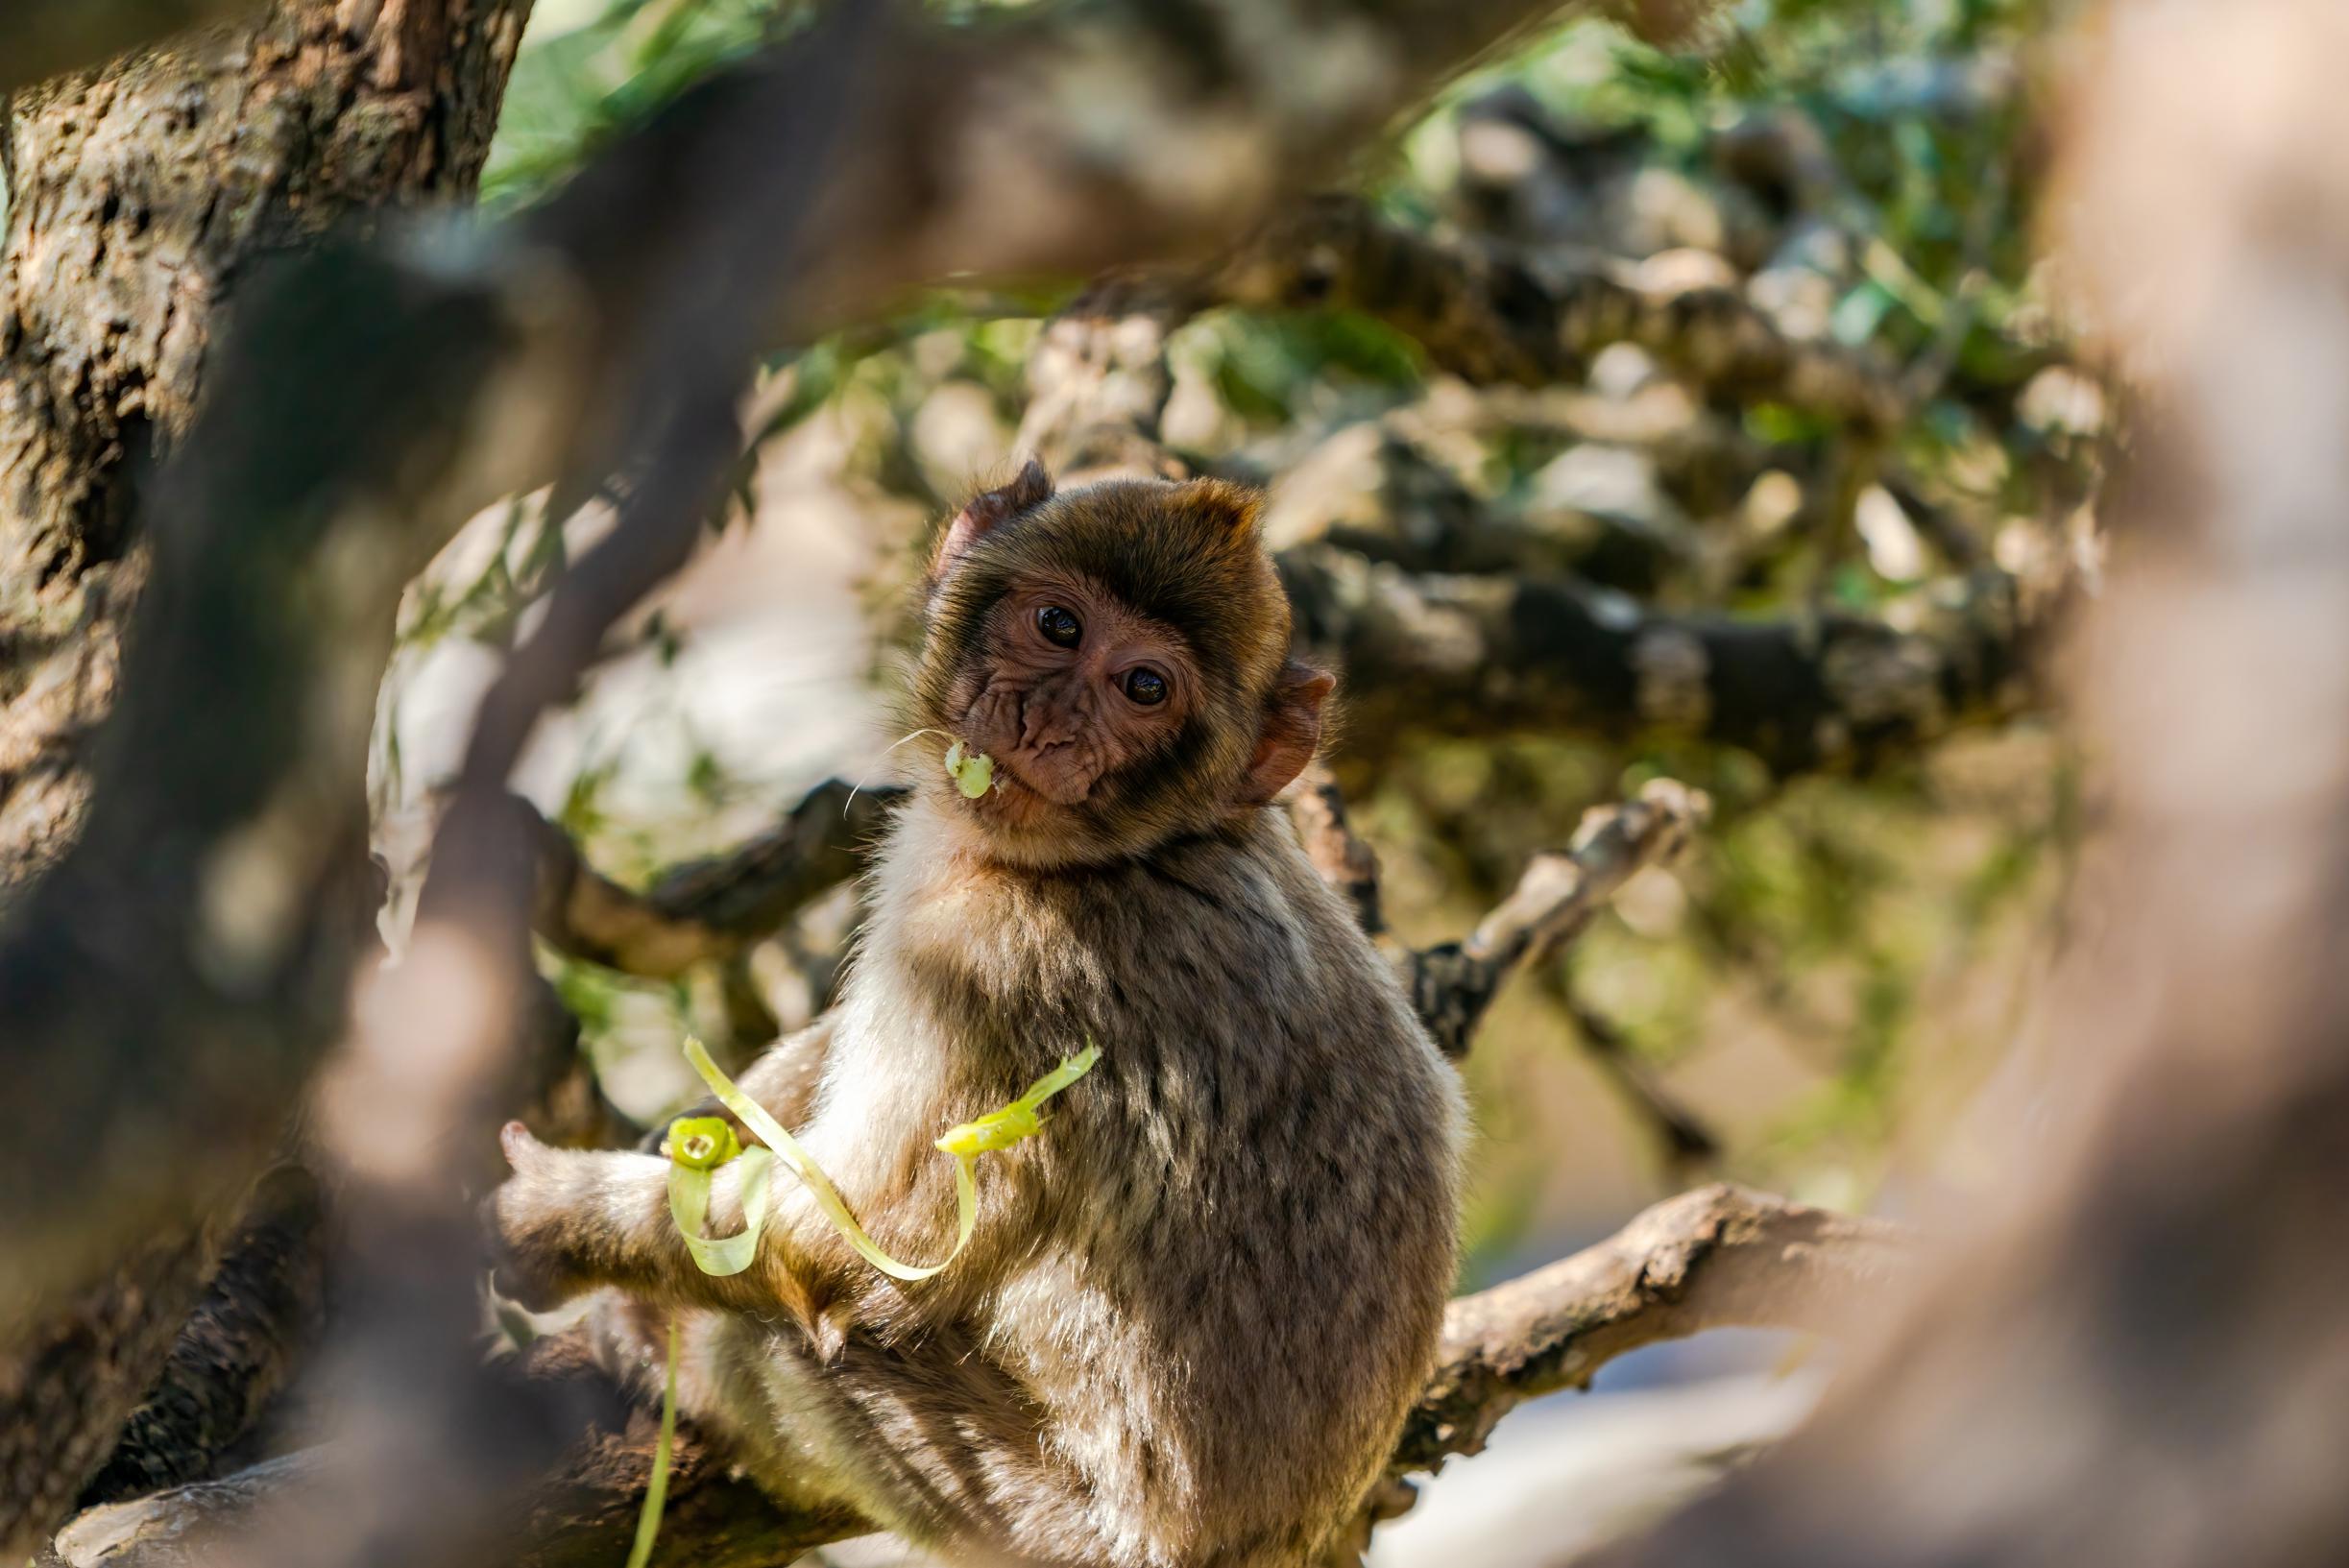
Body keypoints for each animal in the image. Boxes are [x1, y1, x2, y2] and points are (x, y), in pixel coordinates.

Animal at [488, 465, 1456, 1568]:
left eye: (1145, 688)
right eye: (1056, 625)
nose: (1044, 722)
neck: (1134, 852)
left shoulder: (988, 961)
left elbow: (833, 1245)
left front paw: (559, 1218)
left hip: (1038, 1520)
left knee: (783, 1331)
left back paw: (661, 1355)